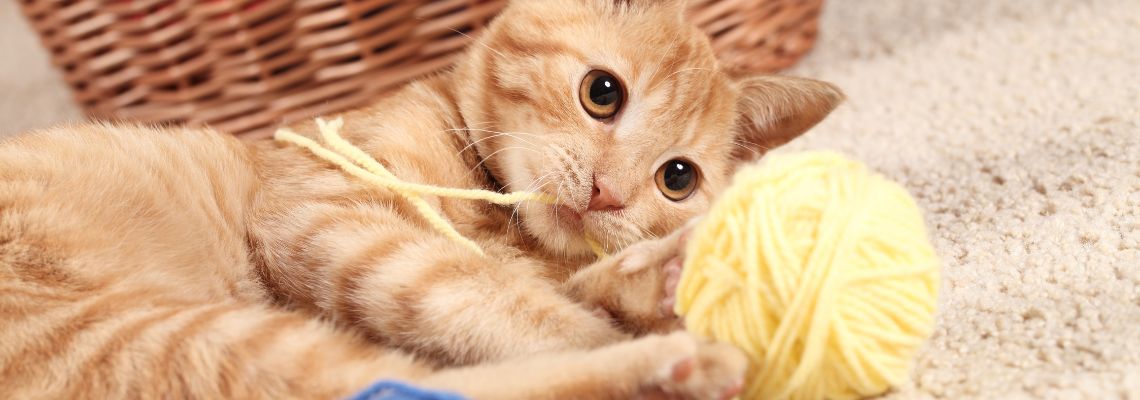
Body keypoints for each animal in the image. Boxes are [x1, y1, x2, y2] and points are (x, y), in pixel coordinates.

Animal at [0, 0, 839, 398]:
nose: (608, 193)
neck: (500, 220)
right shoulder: (326, 217)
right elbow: (514, 310)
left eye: (677, 178)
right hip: (168, 338)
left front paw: (655, 278)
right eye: (603, 93)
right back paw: (675, 365)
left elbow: (563, 289)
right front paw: (641, 314)